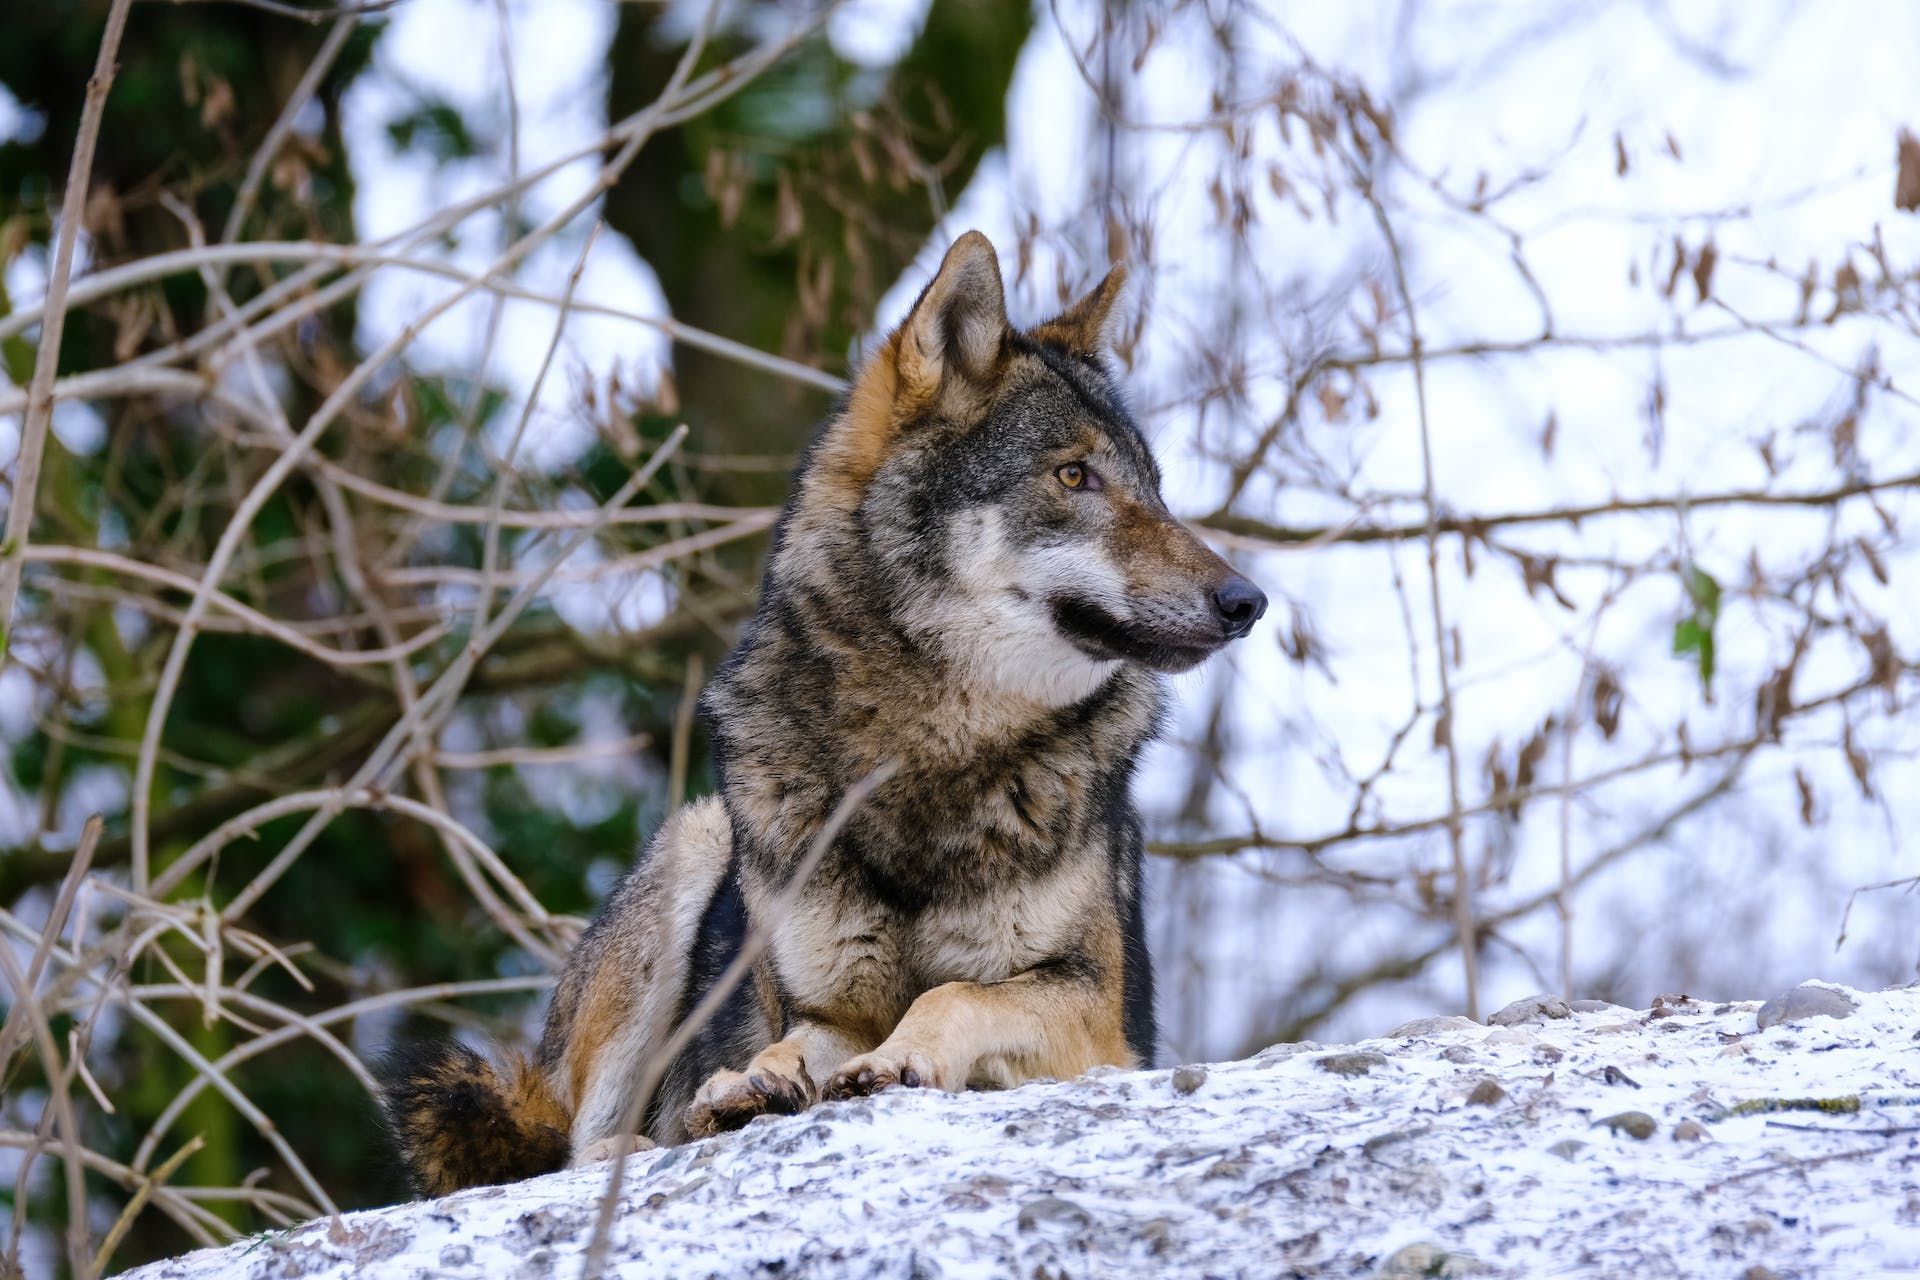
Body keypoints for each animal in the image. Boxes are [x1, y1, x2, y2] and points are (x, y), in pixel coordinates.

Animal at [380, 233, 1267, 1205]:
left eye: (1155, 487)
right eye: (1074, 475)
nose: (1248, 601)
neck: (927, 752)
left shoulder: (1100, 1025)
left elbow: (954, 995)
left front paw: (896, 1061)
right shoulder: (825, 1005)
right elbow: (791, 1042)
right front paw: (752, 1083)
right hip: (692, 849)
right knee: (577, 1143)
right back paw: (647, 1139)